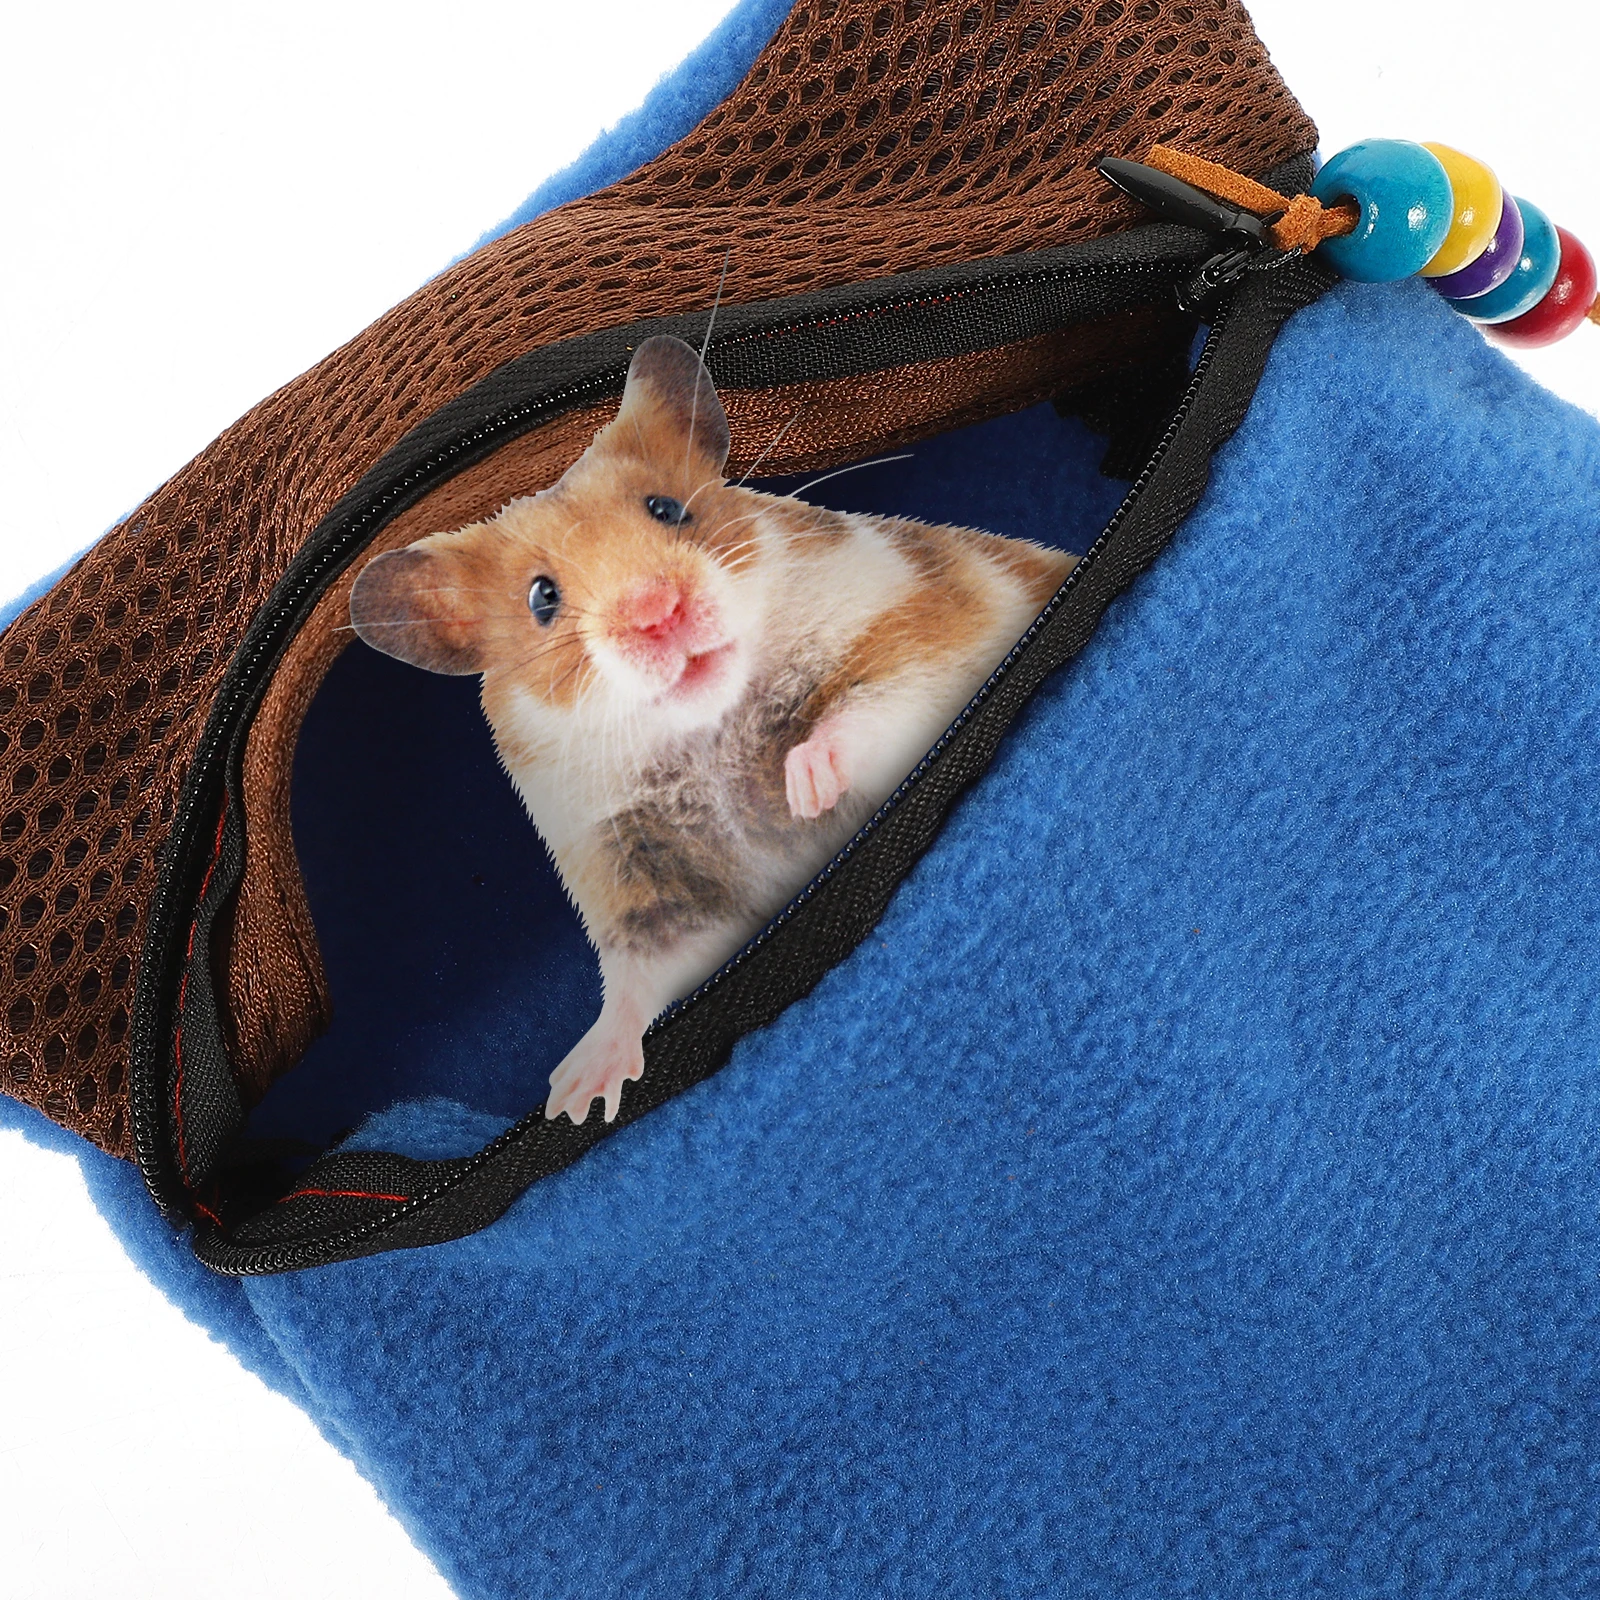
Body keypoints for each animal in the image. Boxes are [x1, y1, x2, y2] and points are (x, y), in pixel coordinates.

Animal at [349, 335, 1075, 1124]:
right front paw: (575, 1100)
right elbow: (639, 980)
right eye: (542, 599)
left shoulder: (935, 637)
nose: (658, 612)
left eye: (667, 509)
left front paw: (803, 788)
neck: (712, 730)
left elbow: (871, 708)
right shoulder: (651, 886)